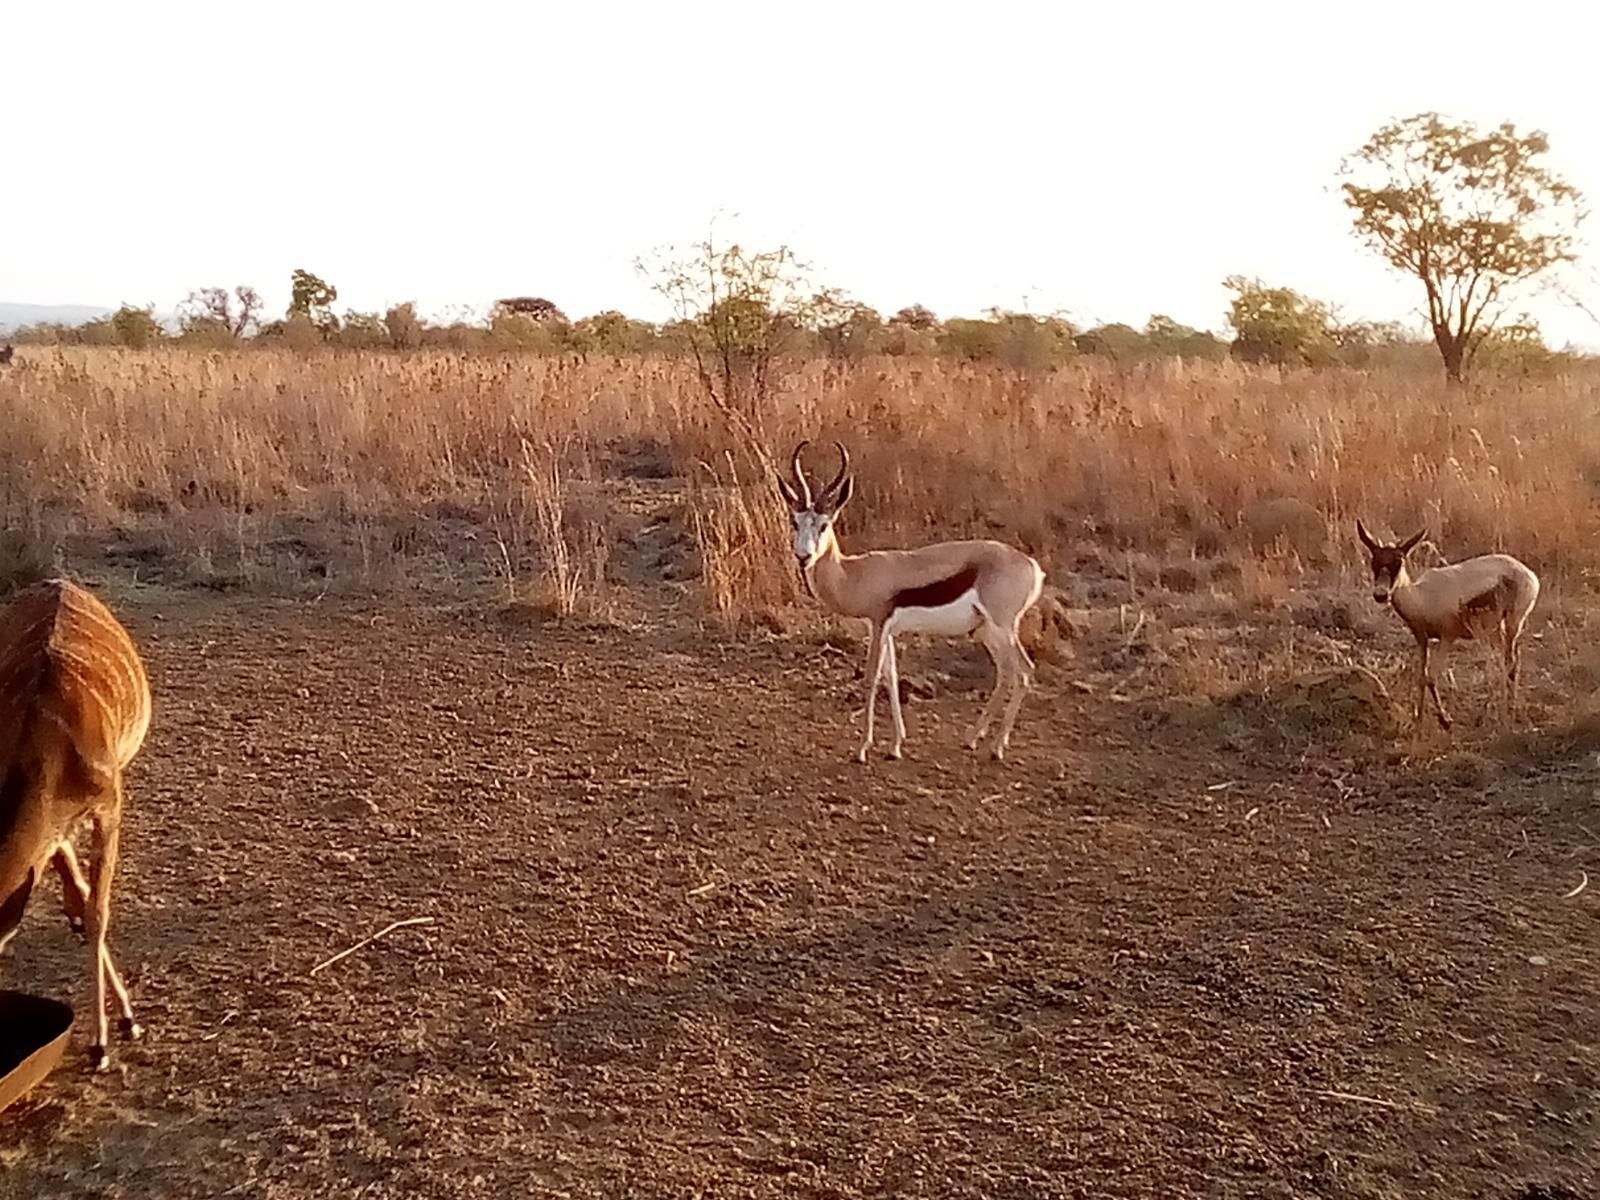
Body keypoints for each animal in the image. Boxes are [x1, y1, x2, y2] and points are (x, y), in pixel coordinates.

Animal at [777, 441, 1049, 761]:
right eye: (795, 522)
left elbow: (871, 678)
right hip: (986, 630)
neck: (853, 573)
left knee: (1023, 672)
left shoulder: (878, 624)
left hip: (1003, 627)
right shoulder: (885, 631)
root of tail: (1031, 565)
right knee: (1007, 672)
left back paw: (995, 747)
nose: (803, 556)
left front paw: (862, 748)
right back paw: (973, 739)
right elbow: (892, 678)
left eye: (823, 525)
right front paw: (895, 745)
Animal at [1356, 524, 1542, 732]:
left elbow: (1431, 677)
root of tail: (1527, 572)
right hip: (1496, 630)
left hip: (1511, 625)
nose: (1380, 595)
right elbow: (1421, 676)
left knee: (1509, 663)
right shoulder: (1422, 639)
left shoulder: (1447, 638)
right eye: (1375, 561)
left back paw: (1500, 712)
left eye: (1399, 562)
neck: (1421, 598)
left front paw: (1445, 720)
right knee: (1510, 661)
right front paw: (1418, 719)